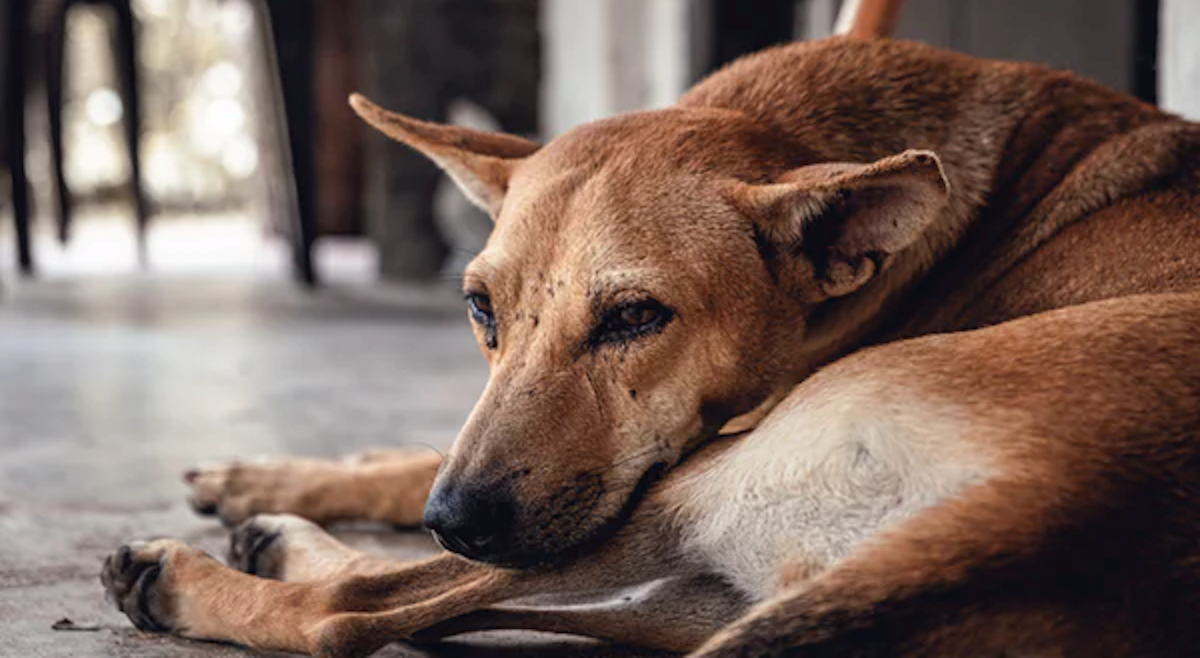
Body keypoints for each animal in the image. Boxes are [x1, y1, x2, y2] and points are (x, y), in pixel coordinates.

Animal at [98, 6, 1200, 658]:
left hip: (685, 488)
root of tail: (1046, 516)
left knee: (356, 615)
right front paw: (282, 473)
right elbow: (410, 461)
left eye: (635, 317)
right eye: (479, 308)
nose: (457, 516)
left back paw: (195, 577)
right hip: (704, 583)